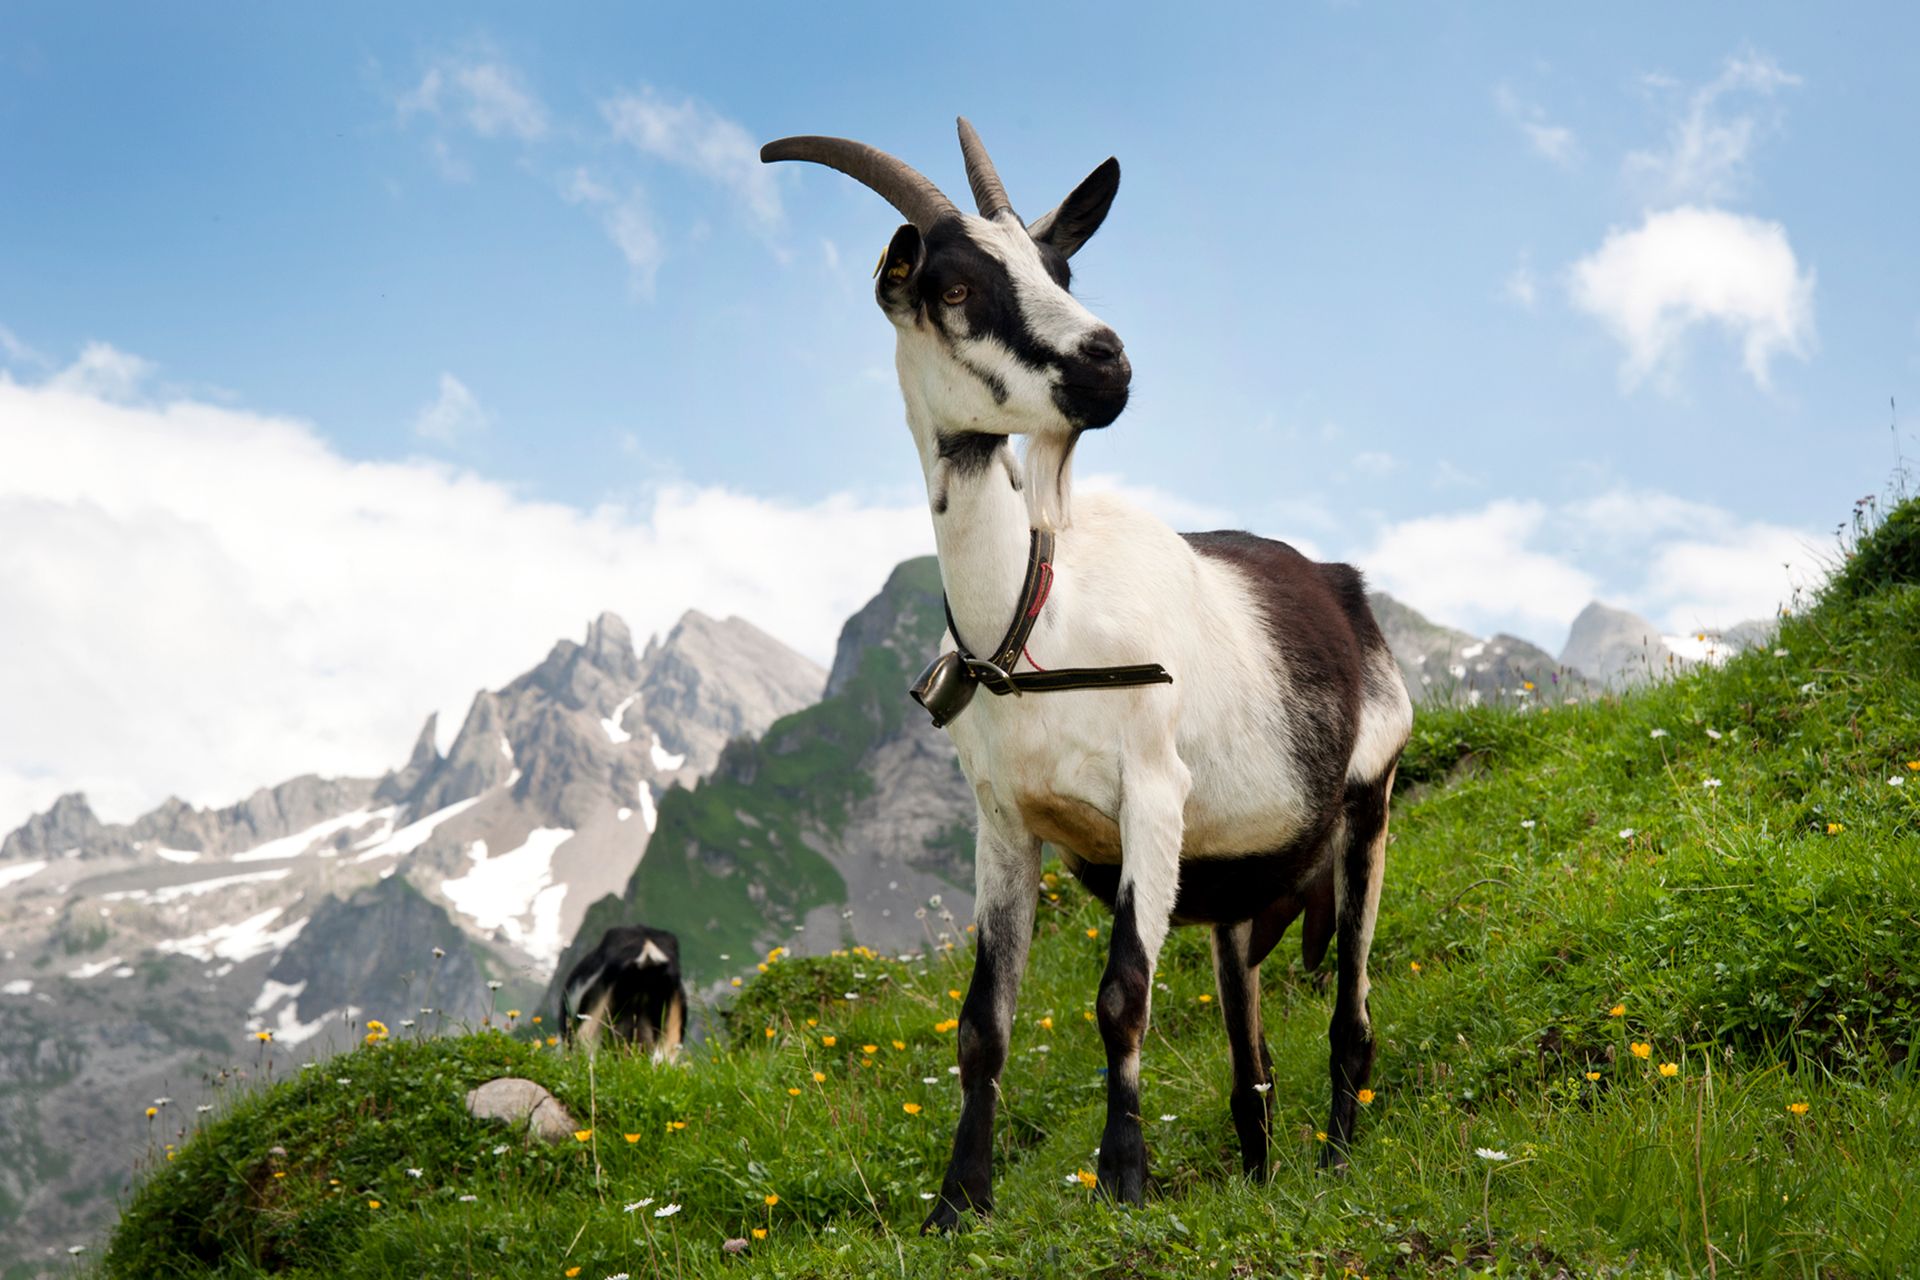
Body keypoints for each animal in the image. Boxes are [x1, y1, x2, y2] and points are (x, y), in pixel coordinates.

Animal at [762, 121, 1412, 1232]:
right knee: (1249, 1055)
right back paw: (1259, 1173)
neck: (1036, 618)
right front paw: (958, 1202)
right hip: (1233, 889)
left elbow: (1122, 993)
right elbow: (983, 1021)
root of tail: (1342, 586)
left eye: (1058, 268)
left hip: (1368, 803)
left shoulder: (1151, 792)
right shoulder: (1003, 821)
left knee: (1351, 1014)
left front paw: (1123, 1180)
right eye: (957, 286)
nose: (1106, 359)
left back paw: (1335, 1161)